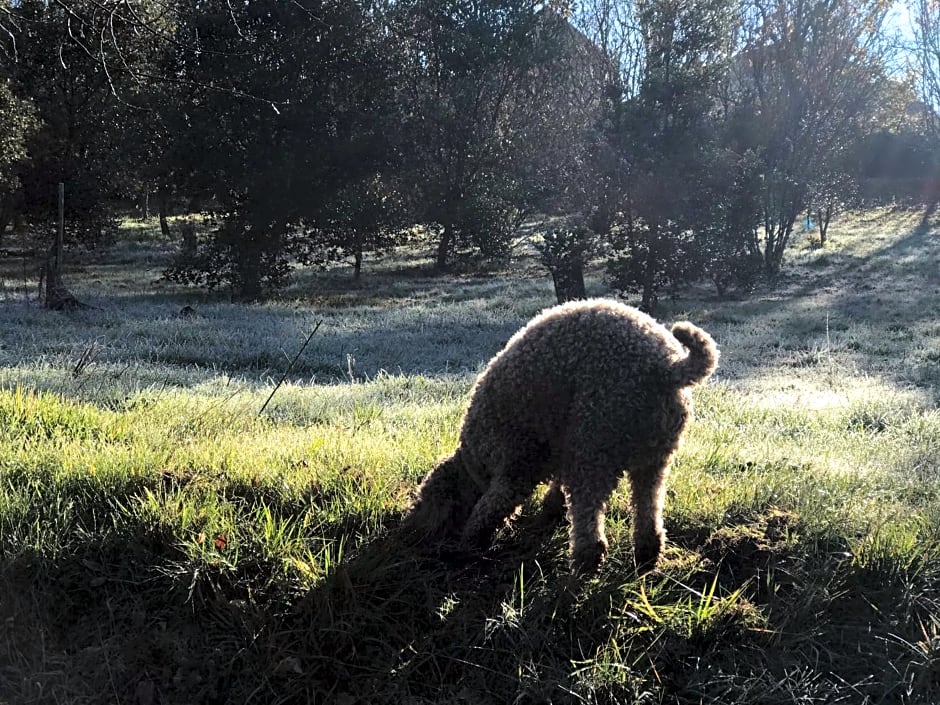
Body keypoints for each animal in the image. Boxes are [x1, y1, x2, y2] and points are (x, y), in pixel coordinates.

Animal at [404, 296, 720, 572]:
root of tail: (665, 366)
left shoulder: (515, 472)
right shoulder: (557, 452)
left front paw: (468, 546)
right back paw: (645, 554)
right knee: (648, 511)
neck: (473, 460)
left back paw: (585, 561)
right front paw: (551, 510)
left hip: (593, 446)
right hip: (653, 458)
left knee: (589, 518)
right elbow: (554, 487)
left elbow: (486, 511)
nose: (412, 535)